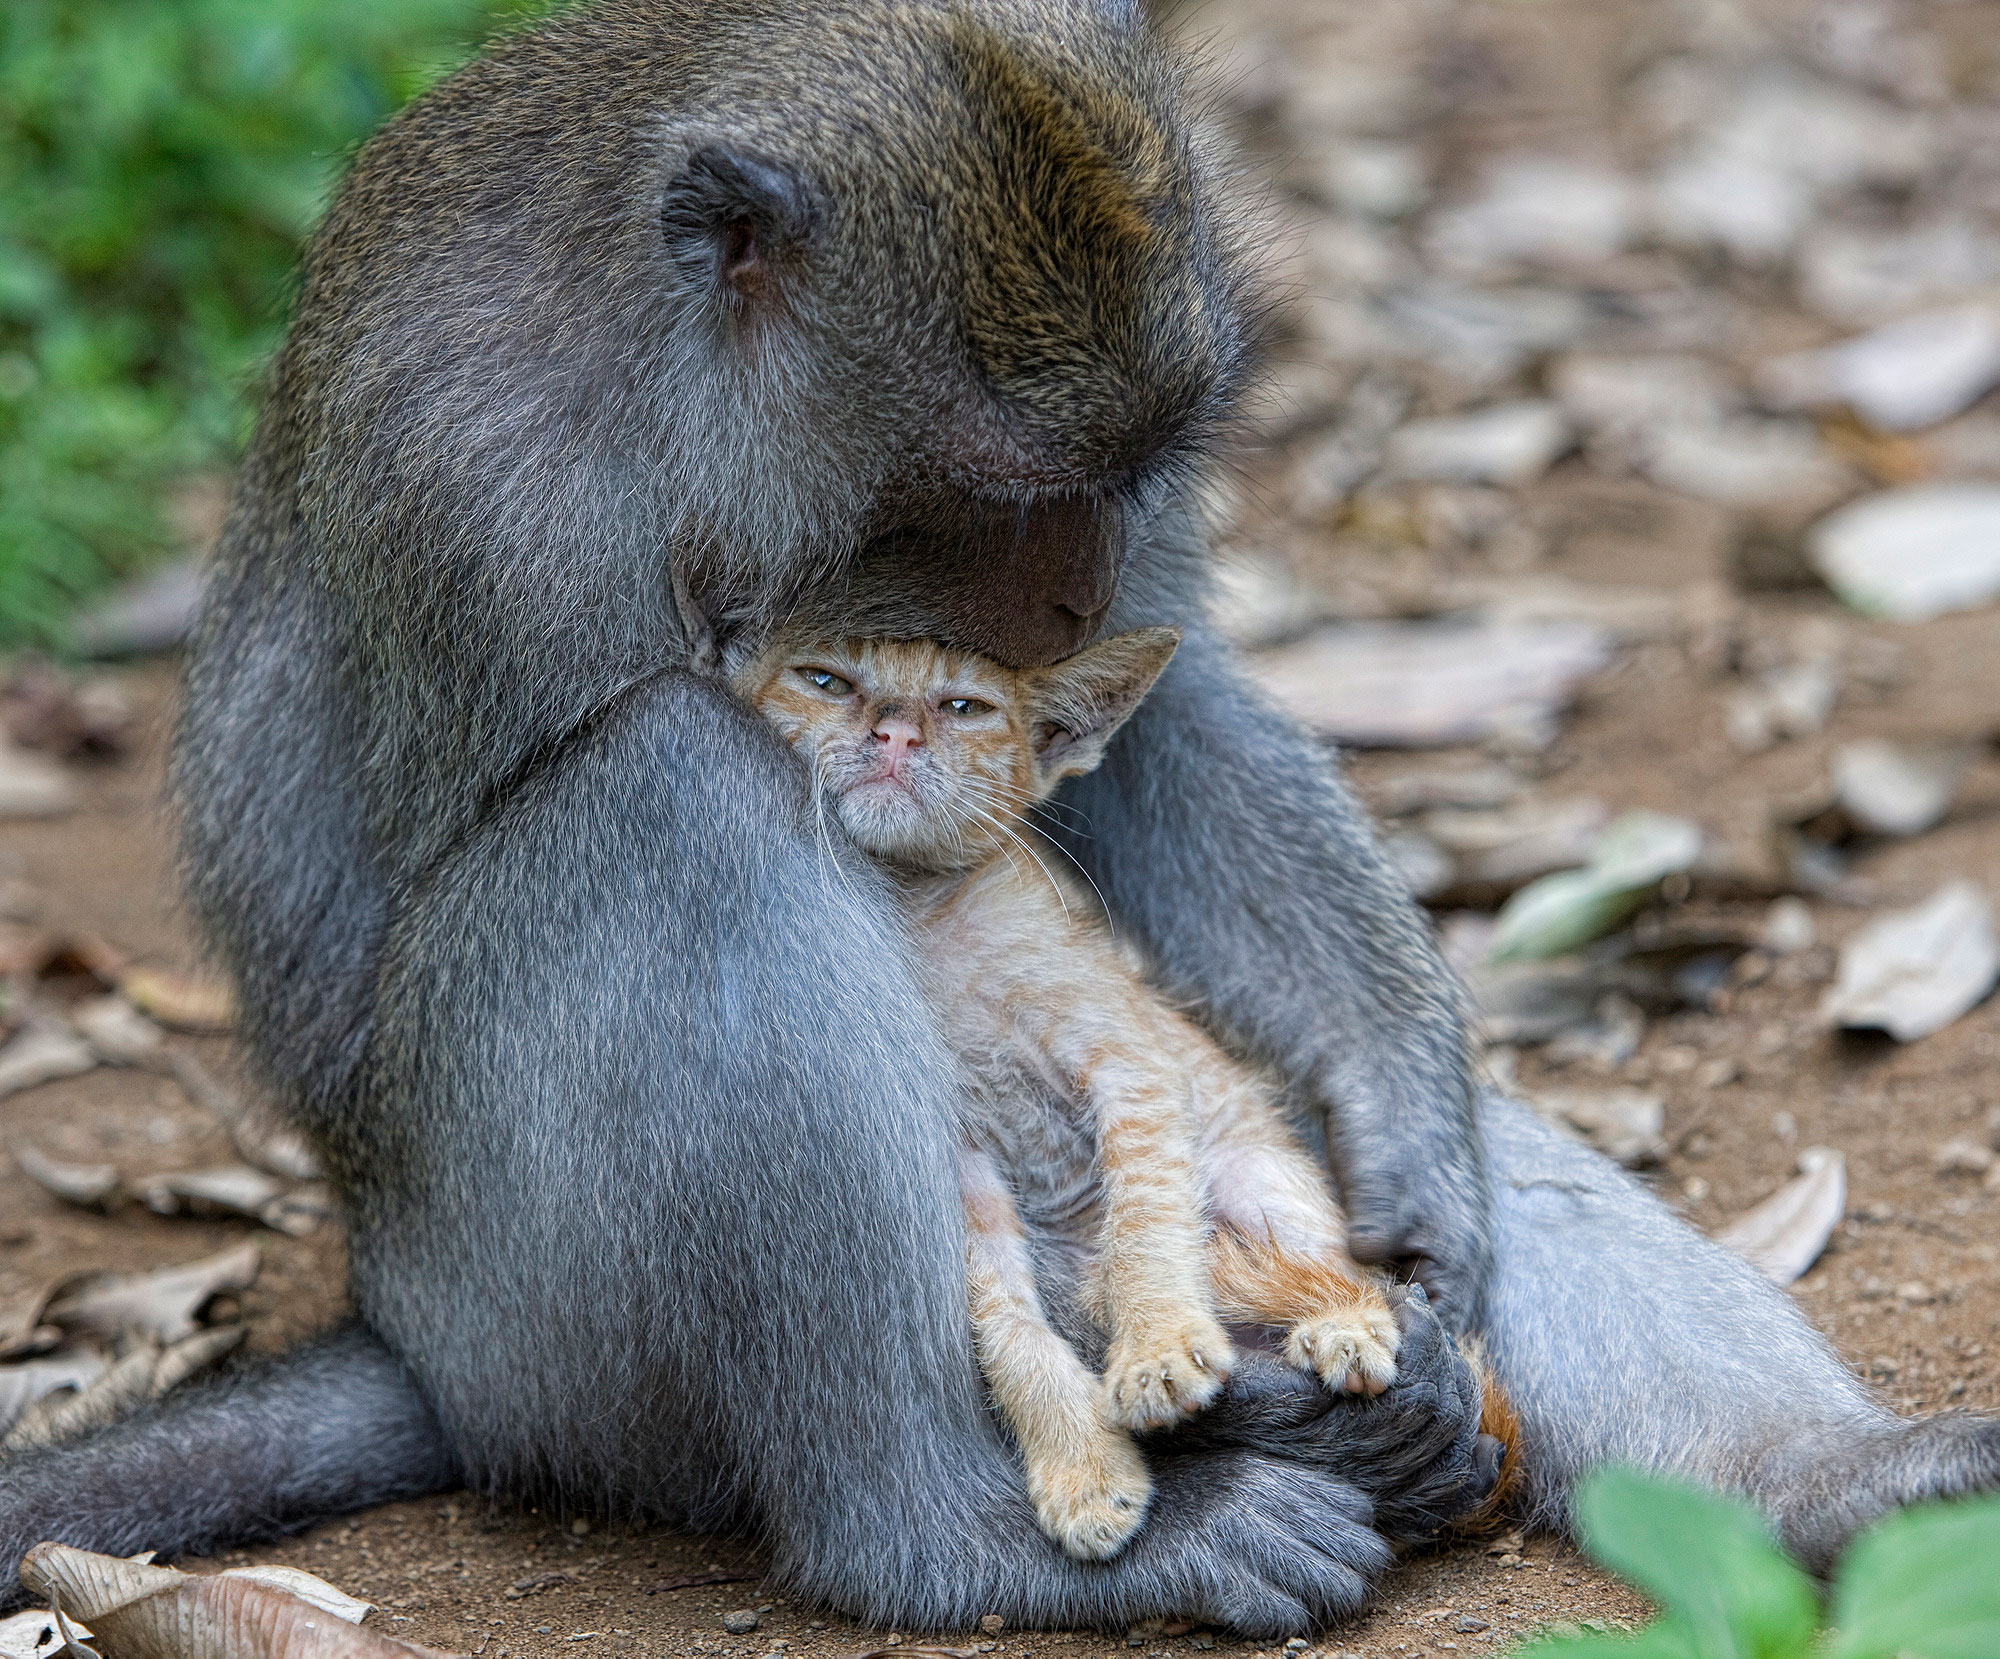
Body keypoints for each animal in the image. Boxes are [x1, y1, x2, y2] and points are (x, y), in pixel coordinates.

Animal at [728, 631, 1400, 1567]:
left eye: (966, 706)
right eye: (825, 680)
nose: (894, 733)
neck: (924, 913)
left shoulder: (1130, 1064)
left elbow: (1146, 1225)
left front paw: (1158, 1346)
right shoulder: (959, 1160)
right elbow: (1006, 1326)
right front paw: (1082, 1467)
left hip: (1255, 1172)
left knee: (1350, 1268)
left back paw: (1345, 1323)